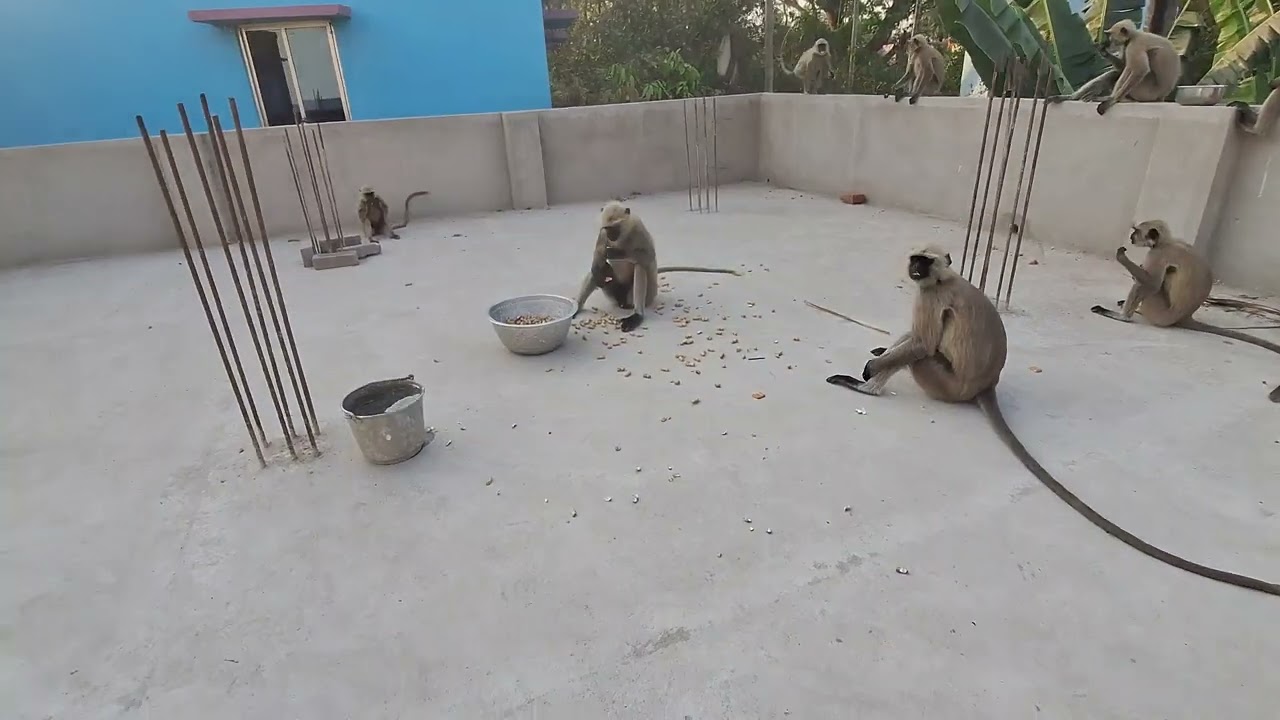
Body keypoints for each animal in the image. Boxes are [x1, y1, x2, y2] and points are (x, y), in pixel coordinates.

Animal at [573, 202, 739, 332]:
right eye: (608, 229)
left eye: (615, 228)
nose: (611, 236)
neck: (622, 236)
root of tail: (622, 300)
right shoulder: (602, 234)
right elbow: (598, 258)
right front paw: (602, 264)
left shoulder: (638, 228)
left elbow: (648, 256)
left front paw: (616, 252)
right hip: (613, 291)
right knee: (596, 271)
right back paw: (577, 306)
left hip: (648, 294)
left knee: (640, 268)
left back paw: (637, 315)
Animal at [826, 246, 1280, 596]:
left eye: (925, 261)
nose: (915, 270)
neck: (943, 280)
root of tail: (985, 386)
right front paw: (880, 351)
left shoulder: (931, 298)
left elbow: (921, 343)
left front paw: (872, 368)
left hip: (944, 382)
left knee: (923, 352)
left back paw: (867, 387)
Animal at [1090, 220, 1280, 403]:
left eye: (1136, 231)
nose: (1131, 237)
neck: (1167, 242)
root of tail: (1186, 316)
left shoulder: (1158, 254)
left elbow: (1152, 284)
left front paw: (1122, 257)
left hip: (1160, 311)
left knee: (1144, 286)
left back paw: (1123, 317)